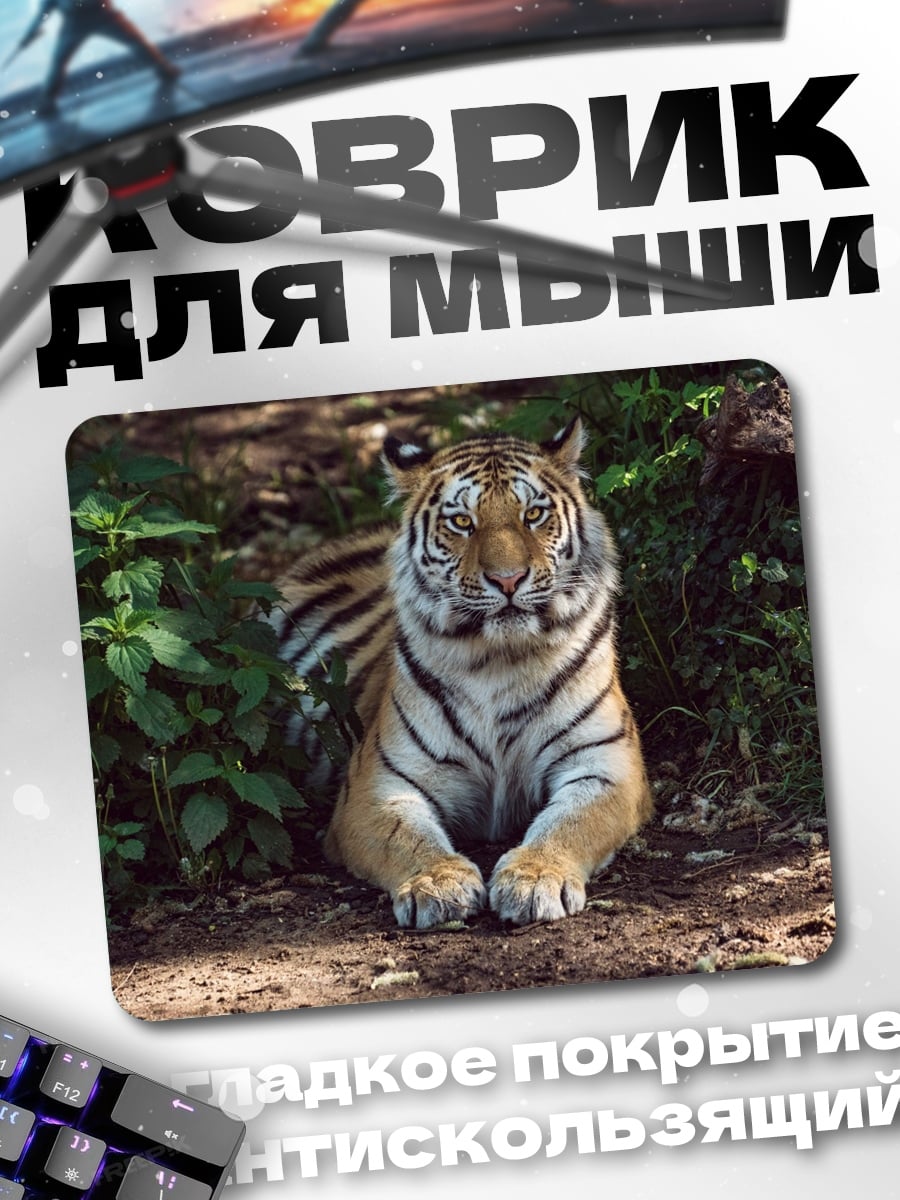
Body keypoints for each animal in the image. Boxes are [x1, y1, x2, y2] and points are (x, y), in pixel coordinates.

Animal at [269, 416, 653, 928]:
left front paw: (535, 878)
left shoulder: (606, 764)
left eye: (533, 514)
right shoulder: (378, 783)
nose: (508, 579)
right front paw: (438, 883)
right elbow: (405, 836)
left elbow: (571, 823)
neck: (500, 660)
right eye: (463, 522)